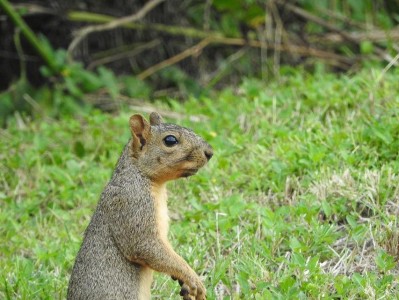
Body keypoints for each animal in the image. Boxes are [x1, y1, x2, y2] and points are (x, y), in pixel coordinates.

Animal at [67, 112, 214, 300]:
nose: (210, 152)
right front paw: (193, 279)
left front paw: (185, 285)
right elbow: (145, 247)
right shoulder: (132, 206)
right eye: (170, 140)